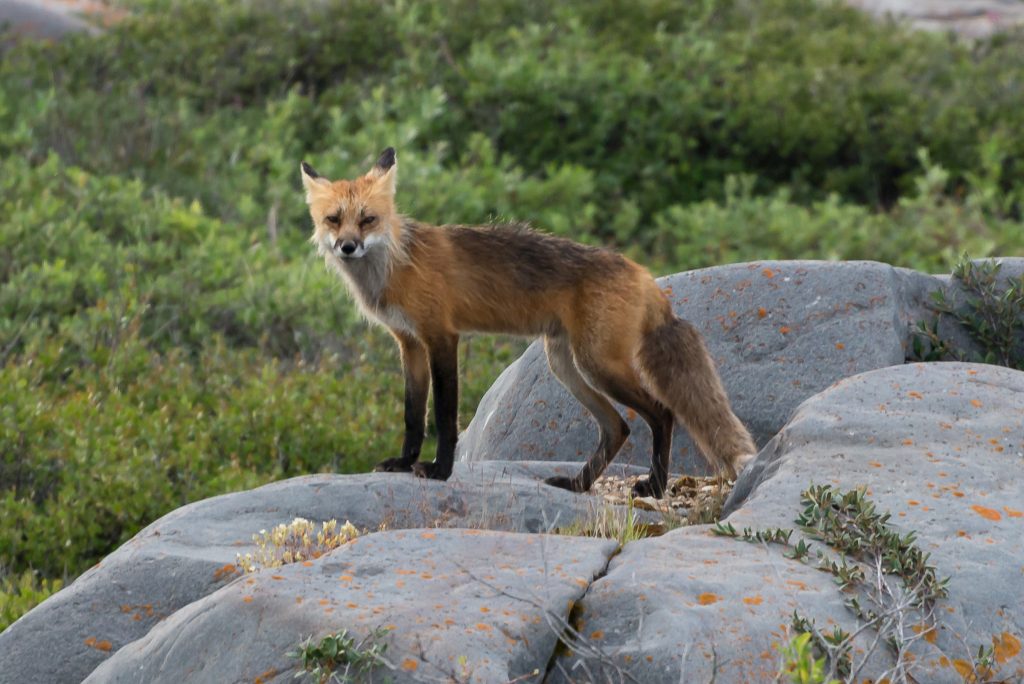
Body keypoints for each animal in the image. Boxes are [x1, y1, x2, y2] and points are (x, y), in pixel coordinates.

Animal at [301, 148, 756, 498]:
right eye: (333, 219)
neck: (397, 264)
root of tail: (644, 274)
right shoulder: (409, 343)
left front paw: (440, 471)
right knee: (618, 428)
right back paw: (578, 484)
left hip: (598, 365)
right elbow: (414, 415)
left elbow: (444, 416)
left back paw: (656, 487)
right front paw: (403, 461)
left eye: (368, 219)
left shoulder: (442, 337)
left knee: (660, 413)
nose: (347, 246)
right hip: (566, 366)